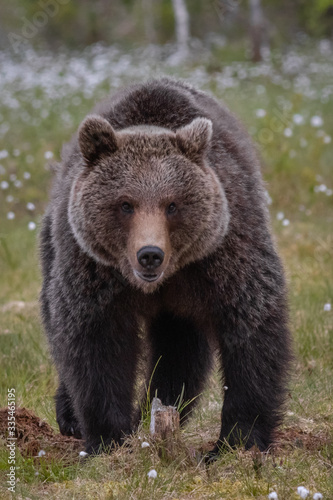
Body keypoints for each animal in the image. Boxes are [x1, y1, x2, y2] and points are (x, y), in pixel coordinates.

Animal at [40, 77, 292, 458]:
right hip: (52, 245)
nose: (150, 254)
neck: (163, 280)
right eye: (125, 204)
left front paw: (237, 441)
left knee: (179, 352)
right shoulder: (93, 269)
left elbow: (252, 329)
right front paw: (109, 438)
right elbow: (95, 342)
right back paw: (73, 416)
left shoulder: (224, 255)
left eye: (172, 204)